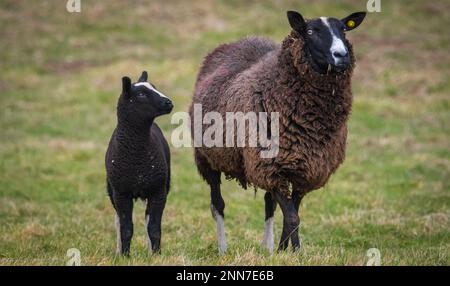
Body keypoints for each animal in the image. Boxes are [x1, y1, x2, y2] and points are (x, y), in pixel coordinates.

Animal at [190, 10, 366, 254]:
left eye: (344, 30)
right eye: (310, 31)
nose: (342, 55)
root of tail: (240, 40)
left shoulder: (306, 169)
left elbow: (291, 214)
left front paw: (284, 250)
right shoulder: (270, 167)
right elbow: (292, 217)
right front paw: (296, 251)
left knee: (269, 204)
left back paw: (268, 246)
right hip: (208, 159)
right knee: (218, 205)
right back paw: (223, 248)